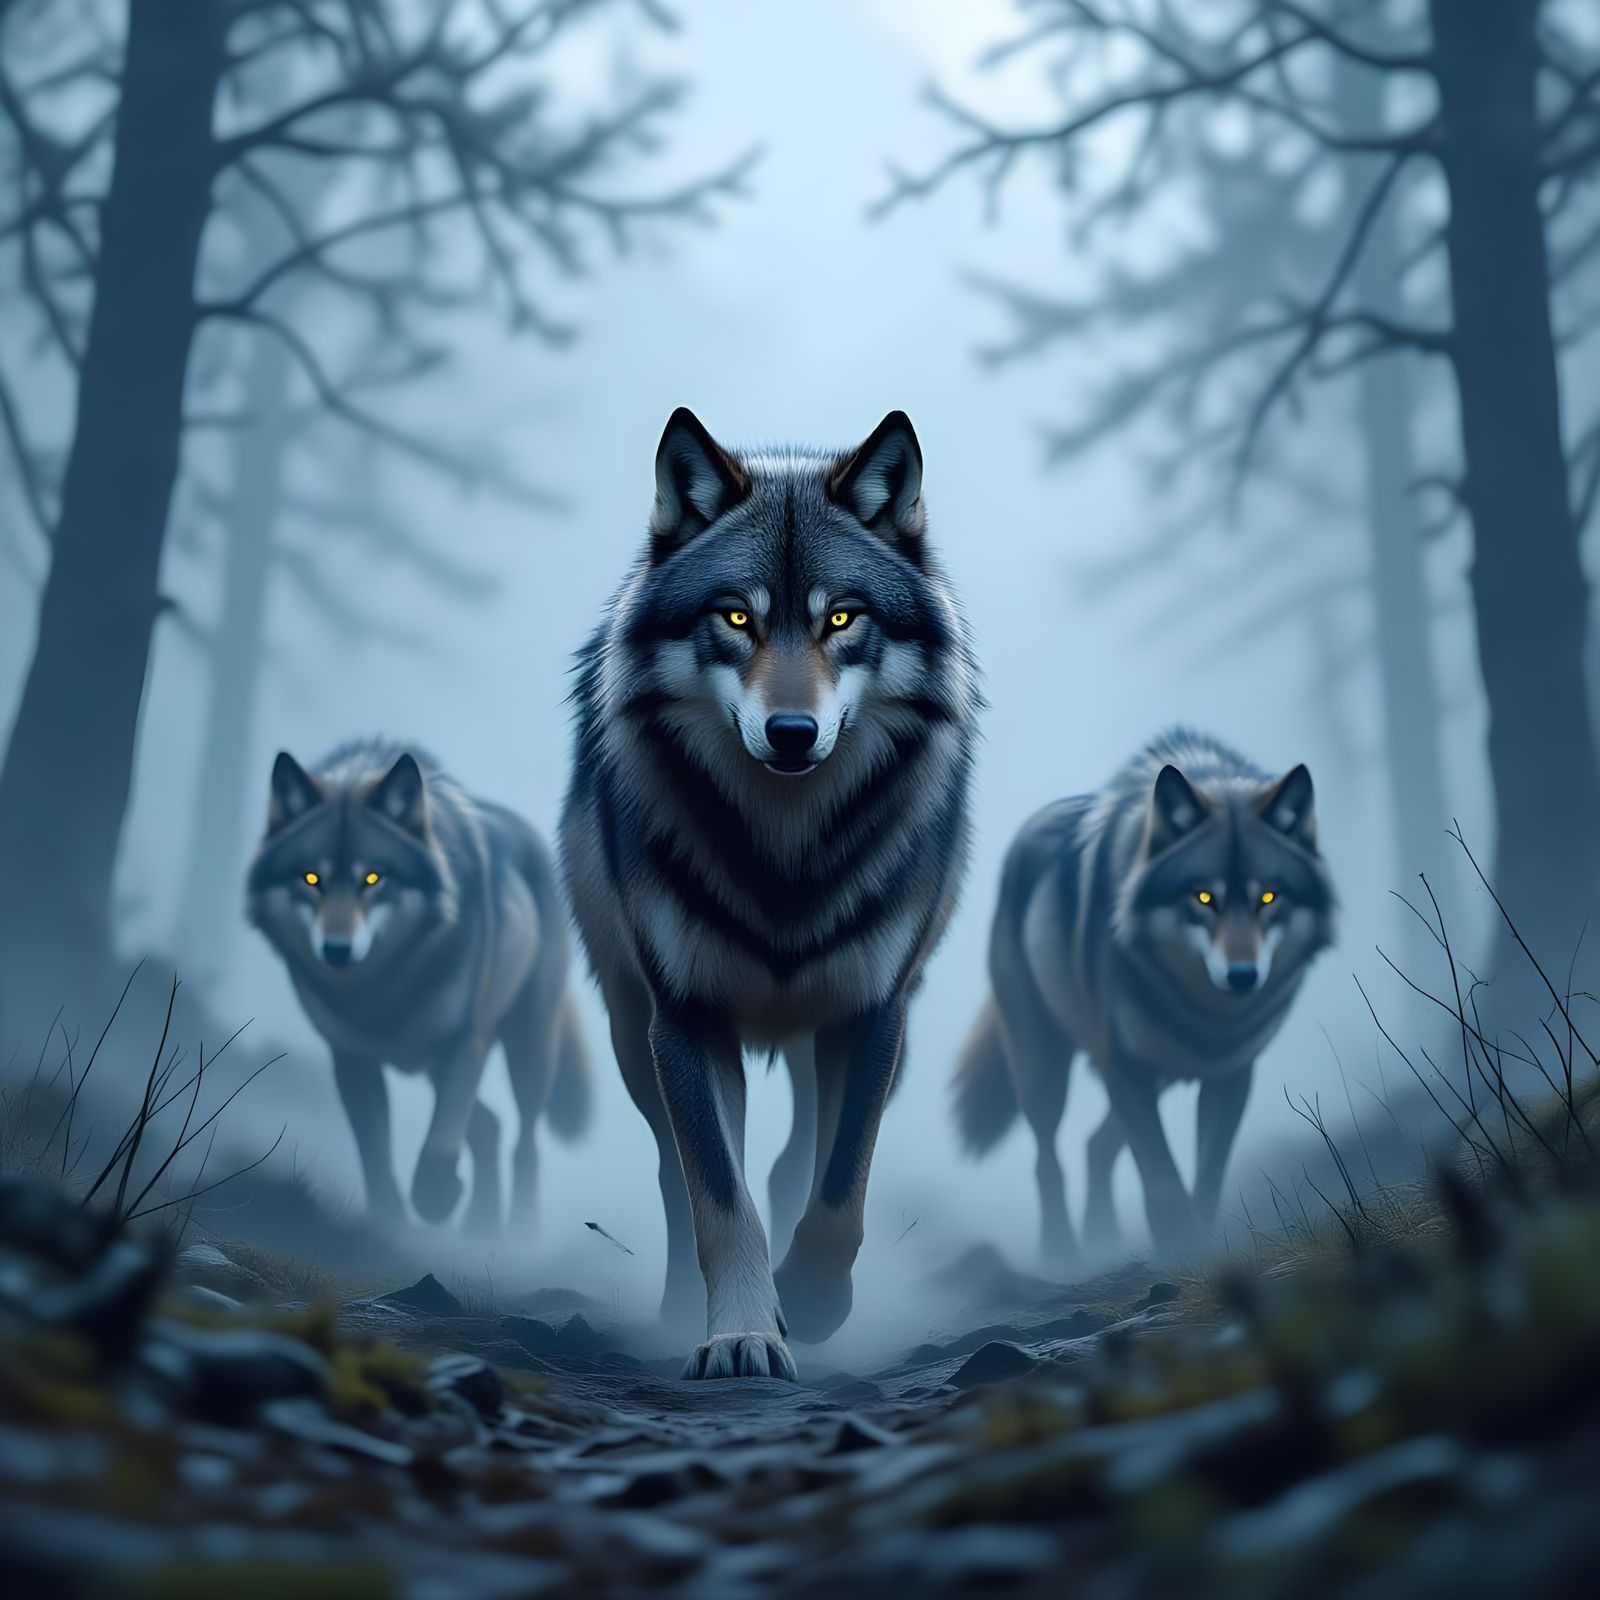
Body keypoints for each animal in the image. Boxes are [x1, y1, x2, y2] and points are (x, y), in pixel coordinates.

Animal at [247, 740, 590, 1233]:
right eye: (311, 878)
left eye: (373, 878)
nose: (337, 950)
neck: (383, 989)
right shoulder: (350, 1059)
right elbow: (375, 1157)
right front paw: (390, 1224)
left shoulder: (467, 1039)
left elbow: (442, 1137)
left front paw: (435, 1195)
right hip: (435, 1066)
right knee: (490, 1127)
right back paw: (480, 1229)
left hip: (528, 1050)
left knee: (525, 1142)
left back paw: (518, 1233)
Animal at [561, 408, 978, 1380]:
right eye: (737, 616)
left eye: (842, 618)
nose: (791, 732)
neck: (785, 853)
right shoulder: (685, 1019)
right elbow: (719, 1200)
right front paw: (742, 1335)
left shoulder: (873, 1013)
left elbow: (837, 1189)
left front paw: (816, 1301)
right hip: (633, 1036)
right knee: (680, 1174)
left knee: (800, 1158)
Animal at [953, 730, 1335, 1262]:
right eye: (1203, 897)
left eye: (1268, 897)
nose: (1242, 976)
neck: (1205, 1016)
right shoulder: (1123, 1066)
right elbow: (1162, 1179)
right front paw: (1179, 1249)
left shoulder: (1231, 1076)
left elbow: (1207, 1178)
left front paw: (1196, 1246)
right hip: (1044, 1069)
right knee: (1047, 1159)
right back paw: (1062, 1255)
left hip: (1154, 1078)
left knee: (1095, 1146)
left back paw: (1102, 1240)